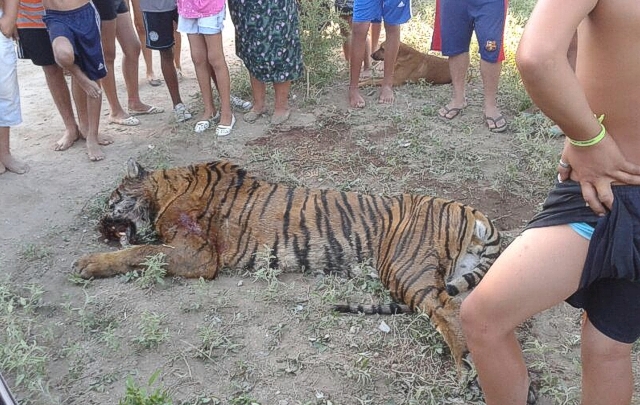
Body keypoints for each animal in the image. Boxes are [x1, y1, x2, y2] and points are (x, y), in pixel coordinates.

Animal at [74, 159, 501, 368]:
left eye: (112, 199)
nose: (97, 224)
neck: (165, 189)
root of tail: (470, 210)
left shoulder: (198, 254)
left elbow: (138, 252)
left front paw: (88, 263)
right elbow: (141, 251)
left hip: (404, 269)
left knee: (449, 310)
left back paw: (465, 367)